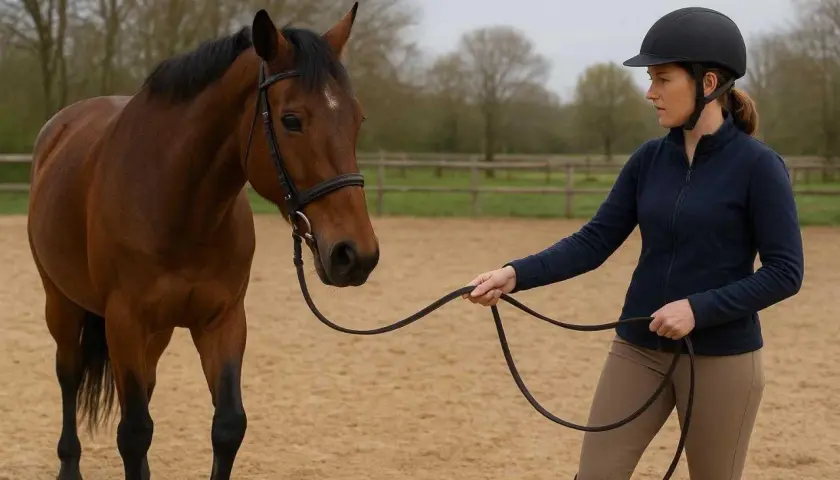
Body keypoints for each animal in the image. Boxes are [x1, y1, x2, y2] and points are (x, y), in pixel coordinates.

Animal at [26, 3, 378, 479]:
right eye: (291, 120)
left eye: (357, 119)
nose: (355, 255)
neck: (179, 207)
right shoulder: (125, 321)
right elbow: (133, 432)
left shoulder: (223, 320)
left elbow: (227, 426)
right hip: (60, 301)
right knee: (69, 372)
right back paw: (69, 464)